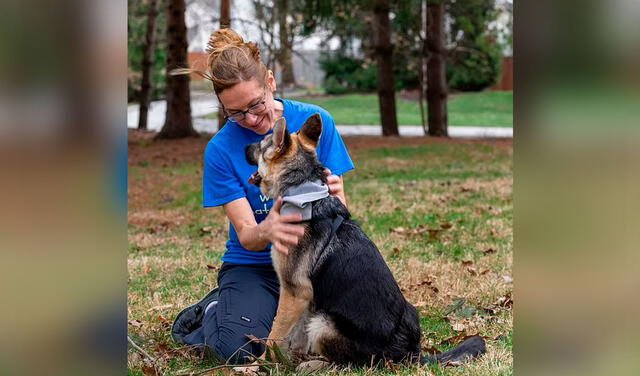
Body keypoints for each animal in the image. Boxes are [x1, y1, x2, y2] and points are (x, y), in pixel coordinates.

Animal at [245, 114, 484, 368]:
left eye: (261, 145)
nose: (245, 147)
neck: (304, 194)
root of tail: (408, 355)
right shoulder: (304, 299)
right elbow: (294, 336)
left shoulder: (294, 292)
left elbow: (274, 334)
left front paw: (259, 365)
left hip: (323, 322)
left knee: (347, 363)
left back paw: (315, 364)